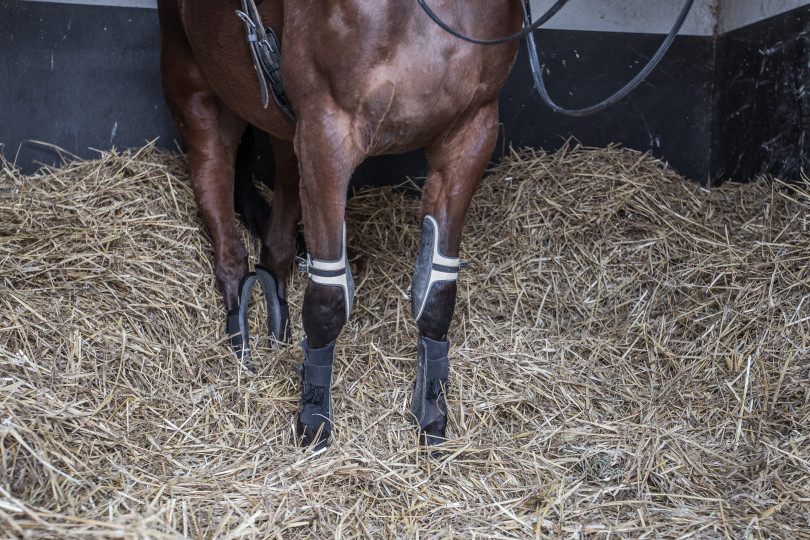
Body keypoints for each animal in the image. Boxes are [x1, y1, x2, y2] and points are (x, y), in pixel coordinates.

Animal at [159, 0, 524, 450]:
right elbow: (328, 297)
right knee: (214, 189)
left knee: (281, 195)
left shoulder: (472, 130)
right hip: (192, 85)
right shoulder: (327, 132)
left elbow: (436, 290)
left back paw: (274, 306)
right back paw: (238, 326)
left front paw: (431, 413)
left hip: (280, 119)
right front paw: (313, 417)